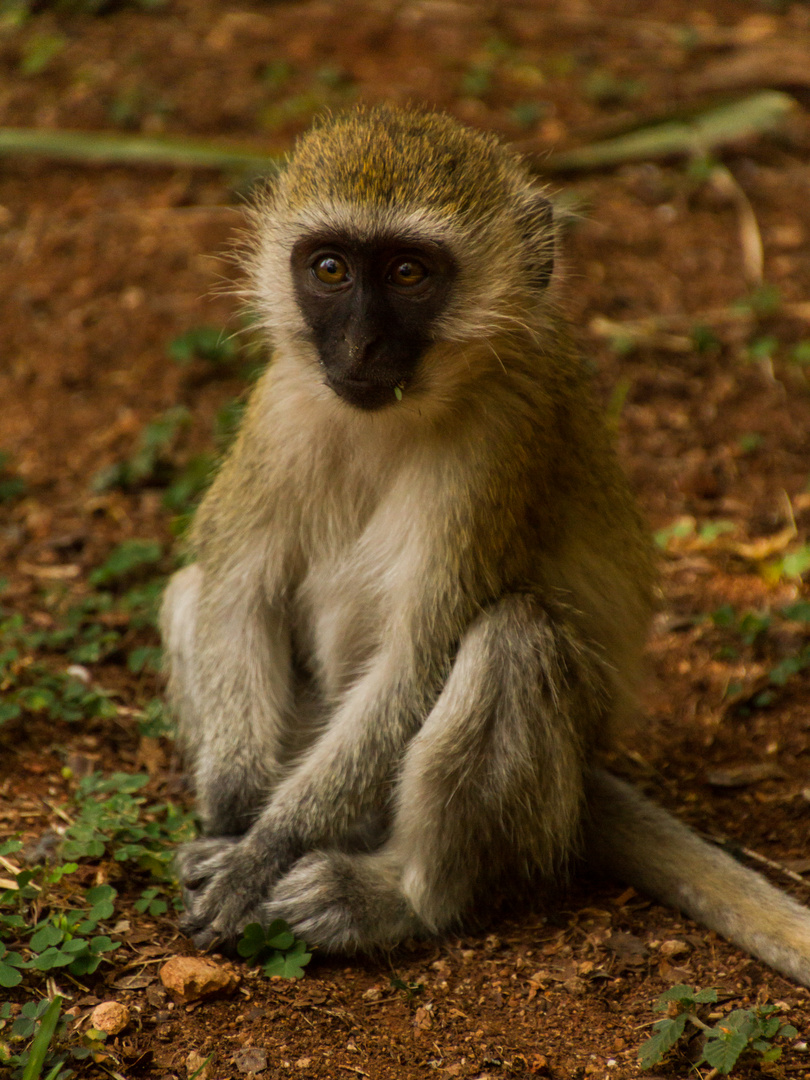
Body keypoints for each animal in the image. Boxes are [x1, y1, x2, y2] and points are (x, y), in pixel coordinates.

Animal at [162, 105, 810, 984]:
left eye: (409, 274)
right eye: (329, 269)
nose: (359, 348)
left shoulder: (500, 443)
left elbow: (416, 661)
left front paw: (266, 849)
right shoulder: (281, 406)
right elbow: (236, 594)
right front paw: (233, 818)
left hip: (541, 789)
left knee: (513, 638)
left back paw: (400, 897)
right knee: (192, 588)